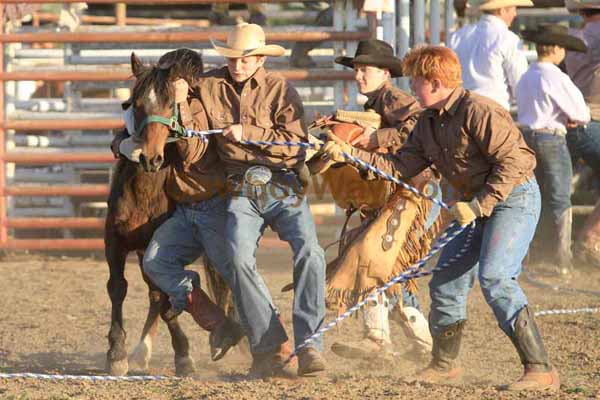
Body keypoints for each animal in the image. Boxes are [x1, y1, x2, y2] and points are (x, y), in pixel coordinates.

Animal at [103, 48, 230, 376]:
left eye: (168, 104)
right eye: (133, 104)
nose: (150, 157)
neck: (144, 193)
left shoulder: (157, 247)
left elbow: (164, 298)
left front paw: (183, 355)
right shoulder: (115, 242)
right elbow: (118, 288)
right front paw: (116, 353)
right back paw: (142, 350)